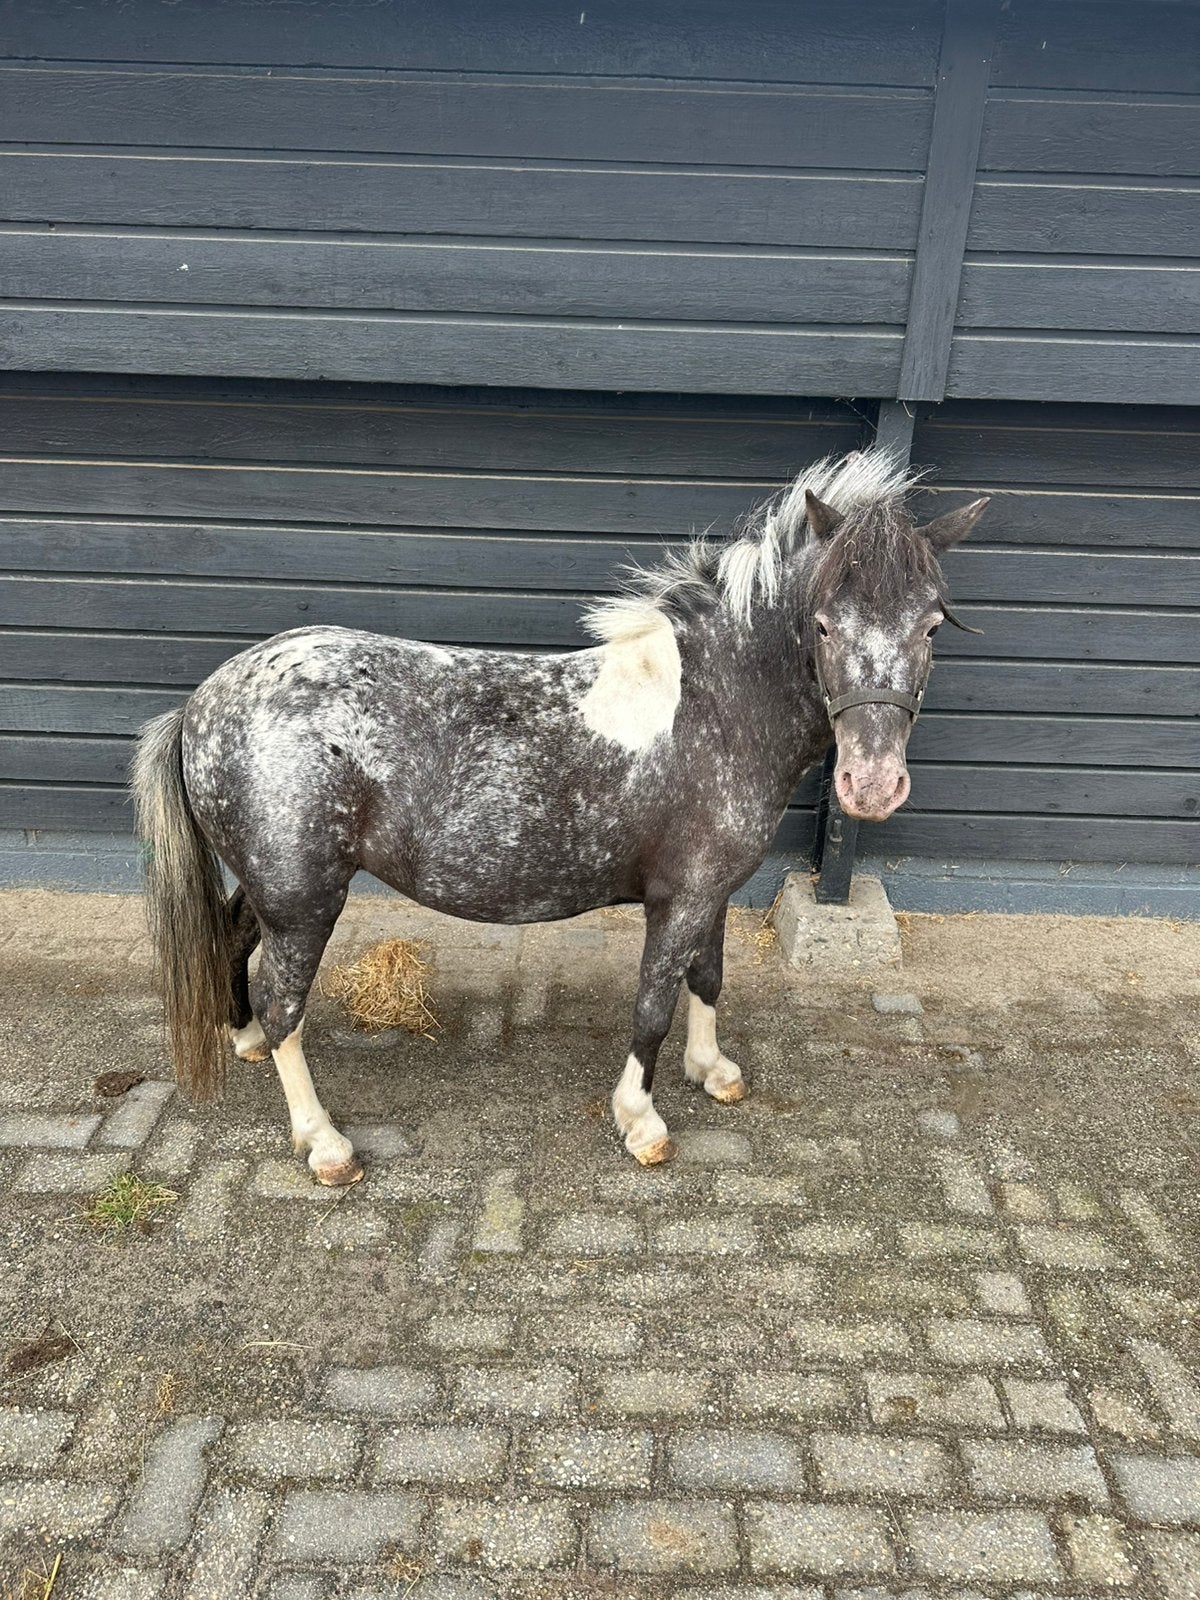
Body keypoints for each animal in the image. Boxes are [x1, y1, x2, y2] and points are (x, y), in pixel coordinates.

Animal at [131, 449, 987, 1184]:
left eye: (931, 624)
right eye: (823, 623)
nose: (871, 784)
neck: (715, 705)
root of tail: (202, 703)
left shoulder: (709, 893)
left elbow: (708, 978)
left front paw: (712, 1071)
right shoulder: (678, 902)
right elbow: (652, 1005)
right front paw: (641, 1121)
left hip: (278, 886)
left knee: (236, 943)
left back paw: (243, 1039)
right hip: (306, 899)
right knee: (285, 1003)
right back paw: (324, 1142)